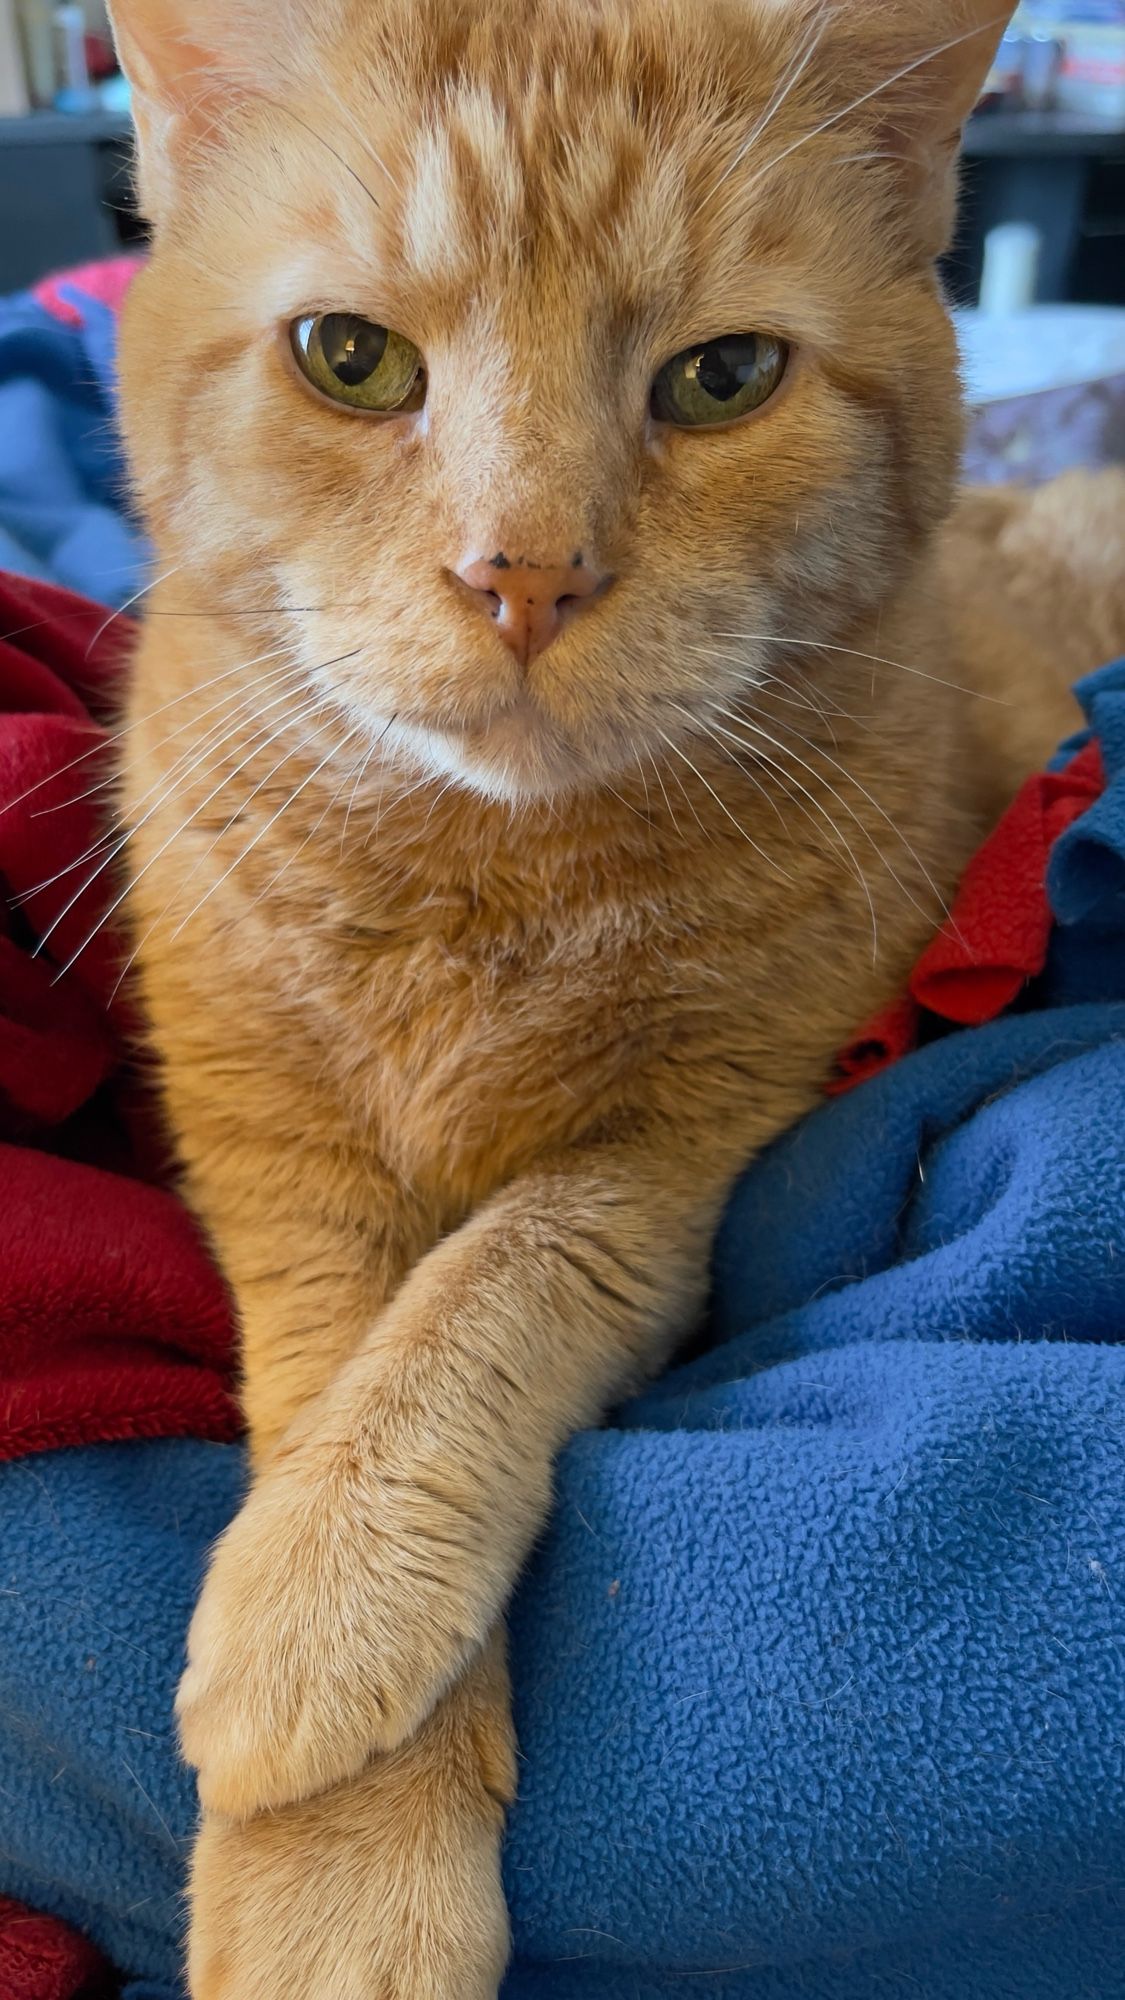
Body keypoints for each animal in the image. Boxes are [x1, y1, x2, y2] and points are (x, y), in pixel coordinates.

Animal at [100, 0, 1112, 1992]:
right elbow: (330, 1385)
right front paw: (329, 1849)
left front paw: (307, 1637)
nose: (526, 575)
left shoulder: (673, 1174)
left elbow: (474, 1309)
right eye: (351, 359)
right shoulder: (282, 1175)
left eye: (721, 379)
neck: (483, 880)